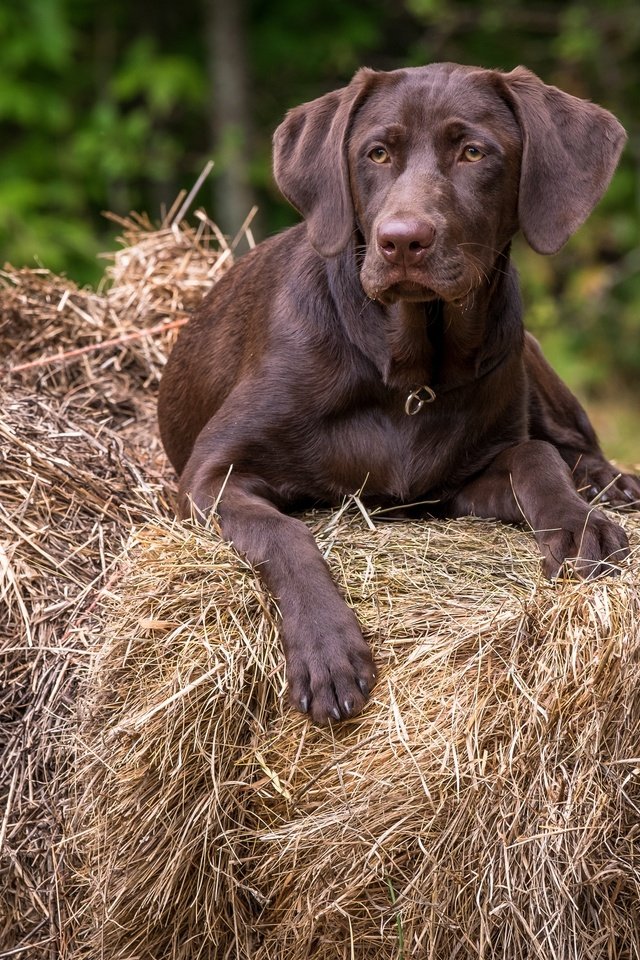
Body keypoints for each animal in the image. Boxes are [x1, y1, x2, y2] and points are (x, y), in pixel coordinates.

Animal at [158, 63, 636, 724]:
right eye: (377, 153)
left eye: (473, 152)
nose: (401, 241)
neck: (408, 373)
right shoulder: (209, 475)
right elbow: (286, 533)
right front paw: (328, 649)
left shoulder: (455, 483)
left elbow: (535, 456)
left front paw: (578, 520)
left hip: (527, 349)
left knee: (571, 441)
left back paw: (608, 482)